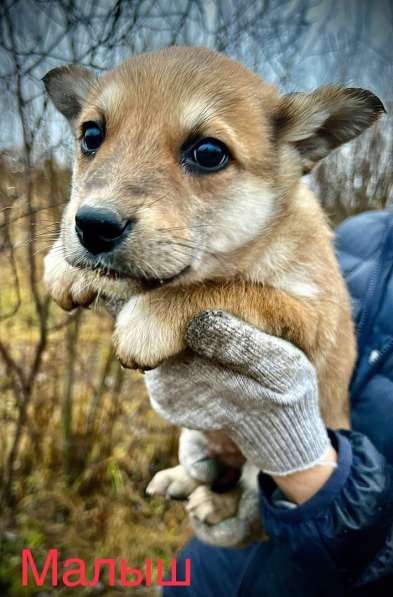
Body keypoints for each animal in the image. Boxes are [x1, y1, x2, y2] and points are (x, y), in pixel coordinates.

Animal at [42, 47, 382, 528]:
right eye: (91, 135)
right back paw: (179, 479)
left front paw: (152, 315)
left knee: (247, 498)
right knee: (208, 468)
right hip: (196, 438)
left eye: (207, 153)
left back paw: (214, 504)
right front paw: (65, 265)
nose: (93, 226)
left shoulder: (314, 318)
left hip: (267, 465)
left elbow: (229, 286)